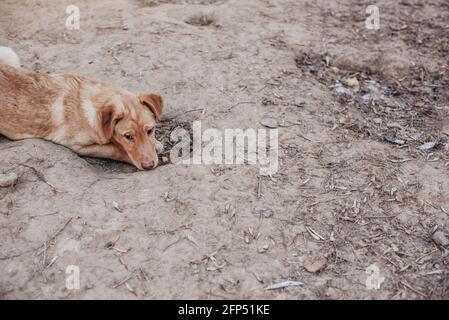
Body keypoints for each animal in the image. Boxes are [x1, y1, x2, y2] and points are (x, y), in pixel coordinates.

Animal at [0, 47, 164, 170]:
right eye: (128, 137)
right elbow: (115, 149)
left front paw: (156, 144)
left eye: (150, 131)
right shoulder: (78, 146)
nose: (149, 165)